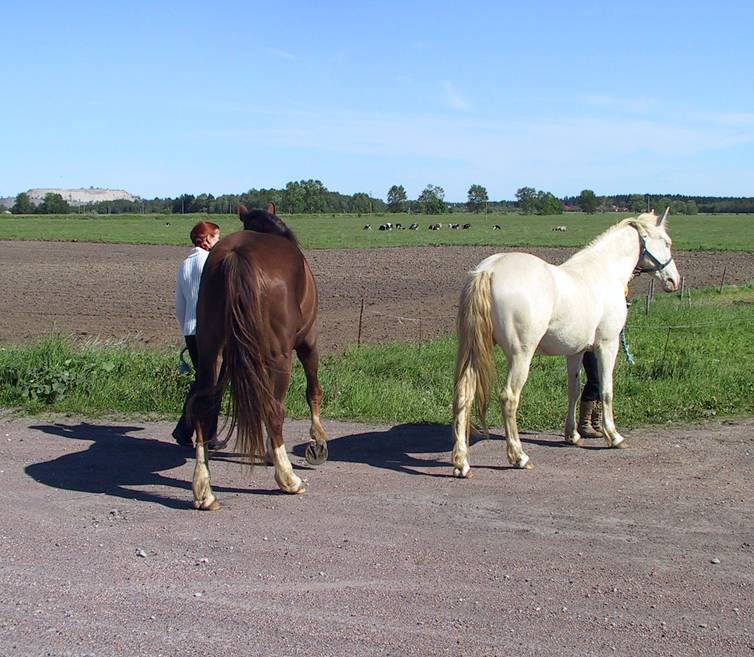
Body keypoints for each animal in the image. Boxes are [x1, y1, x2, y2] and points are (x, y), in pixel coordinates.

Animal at [187, 204, 324, 508]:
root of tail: (236, 256)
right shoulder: (308, 342)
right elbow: (312, 391)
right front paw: (317, 443)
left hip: (211, 352)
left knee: (203, 407)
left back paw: (204, 490)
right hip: (281, 357)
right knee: (274, 409)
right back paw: (288, 479)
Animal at [450, 208, 680, 474]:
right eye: (667, 242)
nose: (674, 281)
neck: (604, 271)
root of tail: (489, 270)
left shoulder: (576, 352)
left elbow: (574, 390)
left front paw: (573, 435)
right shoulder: (608, 344)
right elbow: (606, 389)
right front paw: (614, 436)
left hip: (474, 350)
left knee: (464, 394)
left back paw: (462, 463)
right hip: (521, 355)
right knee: (509, 398)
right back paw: (519, 456)